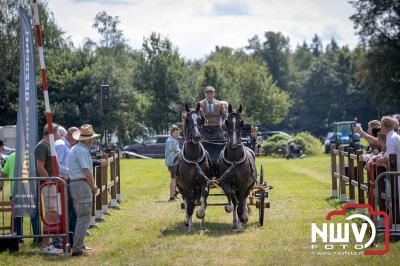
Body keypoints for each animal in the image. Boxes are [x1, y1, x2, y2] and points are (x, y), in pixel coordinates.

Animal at [175, 103, 212, 232]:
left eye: (201, 119)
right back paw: (187, 221)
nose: (196, 137)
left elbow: (204, 199)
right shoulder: (187, 186)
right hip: (181, 188)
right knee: (186, 202)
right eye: (187, 120)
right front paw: (190, 226)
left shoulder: (204, 182)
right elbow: (189, 205)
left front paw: (200, 214)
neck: (194, 159)